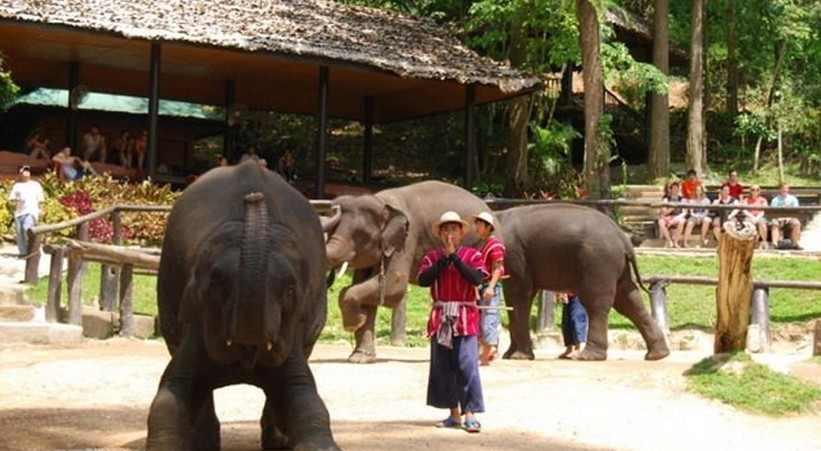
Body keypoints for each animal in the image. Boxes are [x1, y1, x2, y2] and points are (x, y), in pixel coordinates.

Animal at [147, 161, 339, 451]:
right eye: (216, 284)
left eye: (289, 290)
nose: (254, 197)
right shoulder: (195, 320)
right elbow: (172, 392)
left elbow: (303, 394)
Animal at [320, 180, 490, 363]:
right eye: (332, 230)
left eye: (361, 235)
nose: (334, 207)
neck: (382, 203)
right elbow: (367, 289)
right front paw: (360, 358)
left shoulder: (406, 239)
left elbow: (393, 286)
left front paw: (355, 322)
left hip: (481, 245)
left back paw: (479, 358)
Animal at [495, 203, 670, 361]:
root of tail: (623, 238)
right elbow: (524, 297)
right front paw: (509, 356)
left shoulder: (514, 256)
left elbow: (516, 294)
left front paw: (518, 357)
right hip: (617, 265)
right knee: (628, 302)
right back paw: (657, 355)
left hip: (599, 261)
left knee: (597, 303)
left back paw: (589, 356)